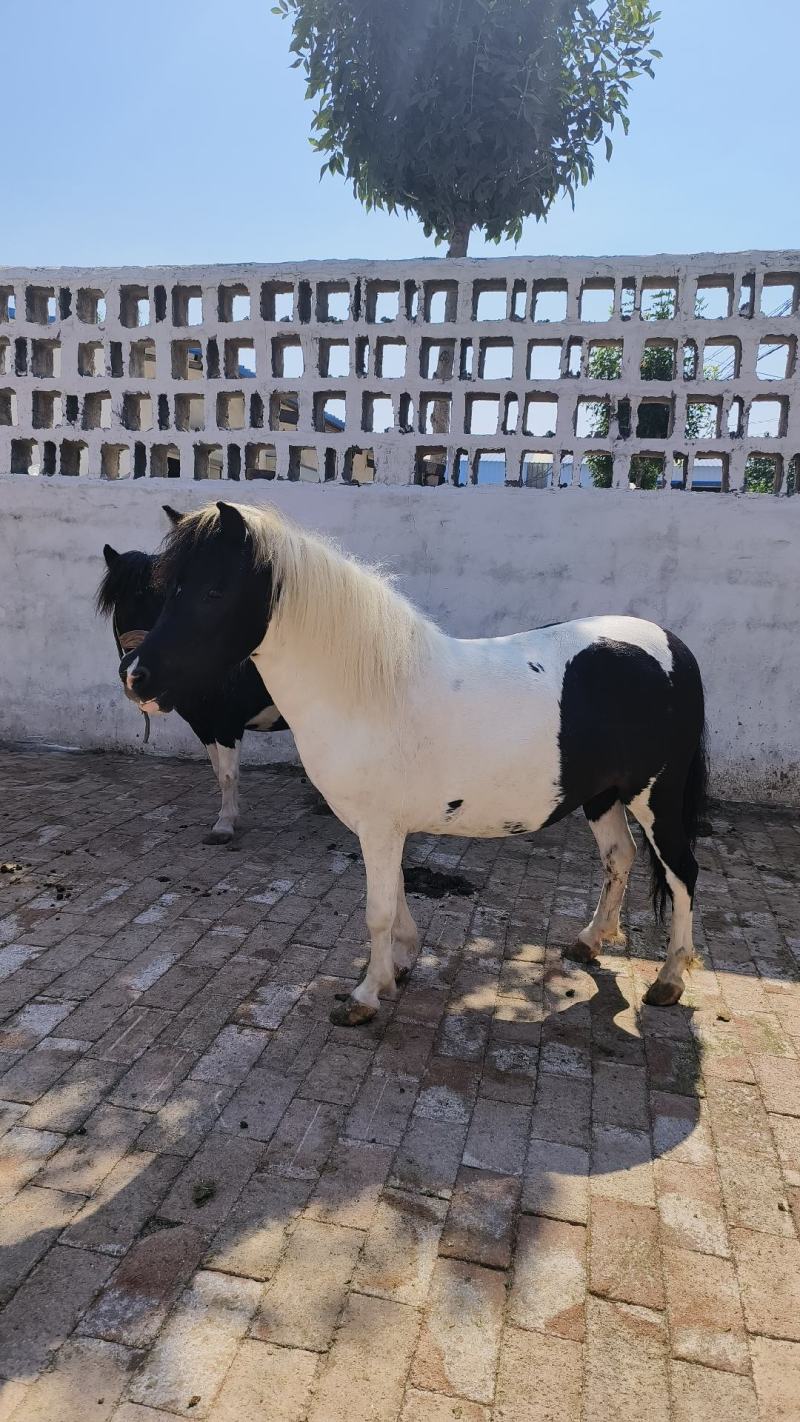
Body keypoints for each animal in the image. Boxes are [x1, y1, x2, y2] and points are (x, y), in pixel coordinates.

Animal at [97, 505, 288, 843]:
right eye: (119, 607)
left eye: (158, 598)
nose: (134, 674)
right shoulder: (202, 723)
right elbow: (218, 772)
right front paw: (230, 816)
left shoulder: (226, 723)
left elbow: (229, 773)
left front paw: (224, 825)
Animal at [120, 500, 708, 1025]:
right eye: (166, 590)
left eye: (213, 591)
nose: (136, 677)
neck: (366, 691)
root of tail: (672, 645)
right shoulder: (385, 827)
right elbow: (397, 896)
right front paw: (398, 966)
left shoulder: (379, 826)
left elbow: (377, 909)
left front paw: (364, 996)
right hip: (603, 795)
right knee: (620, 857)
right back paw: (589, 942)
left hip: (655, 796)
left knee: (681, 871)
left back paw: (669, 980)